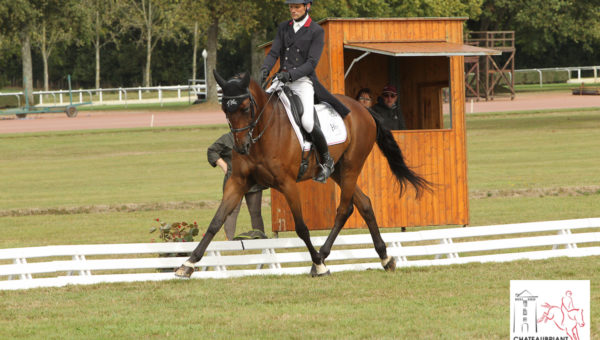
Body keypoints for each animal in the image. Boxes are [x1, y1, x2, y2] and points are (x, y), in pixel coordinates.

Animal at [173, 70, 432, 278]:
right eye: (225, 109)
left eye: (246, 108)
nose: (241, 147)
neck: (262, 133)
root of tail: (364, 110)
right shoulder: (237, 182)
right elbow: (216, 222)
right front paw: (188, 264)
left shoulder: (287, 184)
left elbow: (301, 227)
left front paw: (318, 265)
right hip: (337, 171)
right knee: (364, 204)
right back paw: (385, 258)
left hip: (351, 166)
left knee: (344, 209)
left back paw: (323, 256)